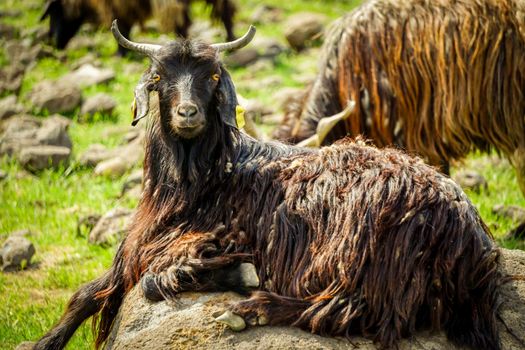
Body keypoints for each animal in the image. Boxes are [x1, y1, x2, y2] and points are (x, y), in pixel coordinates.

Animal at [34, 21, 502, 350]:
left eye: (213, 77)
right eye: (160, 78)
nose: (188, 113)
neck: (208, 178)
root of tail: (471, 237)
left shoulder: (203, 237)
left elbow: (150, 281)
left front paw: (217, 271)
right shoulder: (138, 245)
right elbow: (87, 292)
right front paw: (44, 341)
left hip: (360, 251)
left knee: (346, 311)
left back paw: (252, 308)